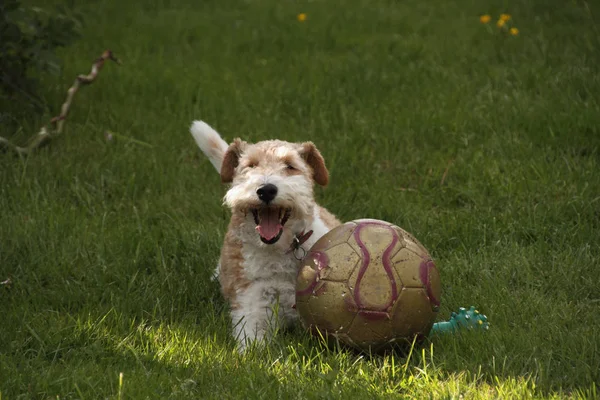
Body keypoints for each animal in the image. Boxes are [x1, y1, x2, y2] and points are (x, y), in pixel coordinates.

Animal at [192, 120, 342, 348]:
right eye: (251, 165)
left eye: (290, 165)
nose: (266, 190)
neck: (281, 251)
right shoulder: (252, 306)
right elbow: (253, 343)